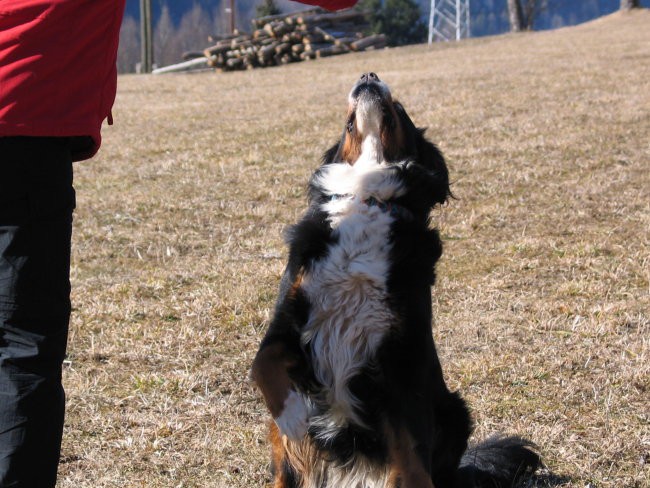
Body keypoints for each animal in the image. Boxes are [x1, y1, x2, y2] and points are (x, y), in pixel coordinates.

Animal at [251, 72, 540, 488]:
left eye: (400, 108)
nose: (368, 75)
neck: (367, 199)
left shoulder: (402, 354)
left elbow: (411, 452)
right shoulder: (289, 318)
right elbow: (263, 362)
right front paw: (292, 415)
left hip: (455, 410)